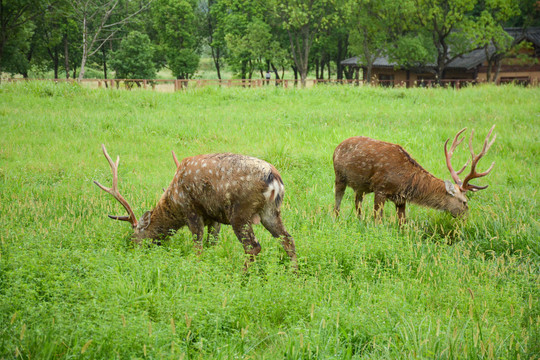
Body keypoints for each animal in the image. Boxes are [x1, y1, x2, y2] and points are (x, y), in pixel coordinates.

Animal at [93, 145, 296, 268]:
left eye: (134, 237)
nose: (132, 253)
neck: (174, 200)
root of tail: (275, 179)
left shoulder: (191, 211)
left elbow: (197, 247)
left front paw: (197, 271)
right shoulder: (215, 218)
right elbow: (211, 244)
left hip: (240, 213)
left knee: (253, 246)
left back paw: (244, 279)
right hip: (270, 211)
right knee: (287, 239)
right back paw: (294, 276)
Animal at [334, 126, 498, 222]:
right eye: (464, 202)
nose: (467, 219)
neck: (405, 181)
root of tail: (337, 147)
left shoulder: (400, 199)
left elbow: (402, 223)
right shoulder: (380, 188)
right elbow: (377, 219)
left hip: (361, 186)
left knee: (357, 201)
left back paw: (359, 220)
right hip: (339, 175)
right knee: (338, 200)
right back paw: (336, 219)